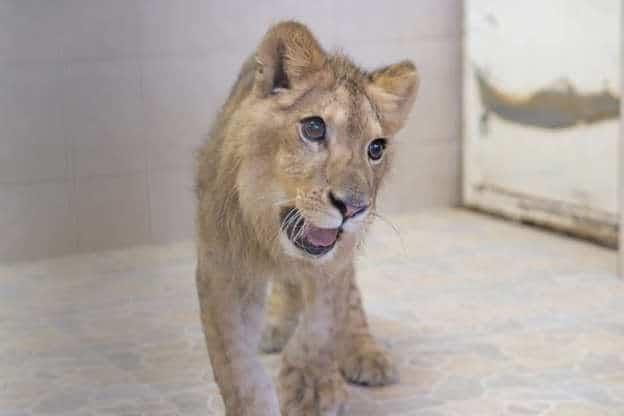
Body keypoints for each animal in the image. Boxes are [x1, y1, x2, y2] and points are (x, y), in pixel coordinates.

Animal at [195, 22, 420, 416]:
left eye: (376, 148)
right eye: (313, 129)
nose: (353, 208)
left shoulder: (334, 263)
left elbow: (321, 325)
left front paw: (312, 388)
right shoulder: (220, 269)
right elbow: (235, 363)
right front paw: (255, 403)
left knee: (349, 299)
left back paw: (365, 352)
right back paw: (274, 327)